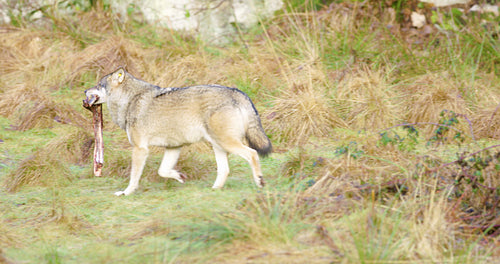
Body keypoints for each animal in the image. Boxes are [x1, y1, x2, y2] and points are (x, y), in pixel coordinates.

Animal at [86, 68, 274, 196]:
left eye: (98, 85)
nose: (85, 91)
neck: (130, 101)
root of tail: (237, 92)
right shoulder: (174, 147)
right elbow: (163, 171)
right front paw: (180, 177)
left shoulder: (140, 149)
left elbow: (134, 177)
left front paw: (126, 192)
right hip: (218, 146)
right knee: (225, 170)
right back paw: (214, 189)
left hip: (226, 143)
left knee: (252, 154)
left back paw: (260, 182)